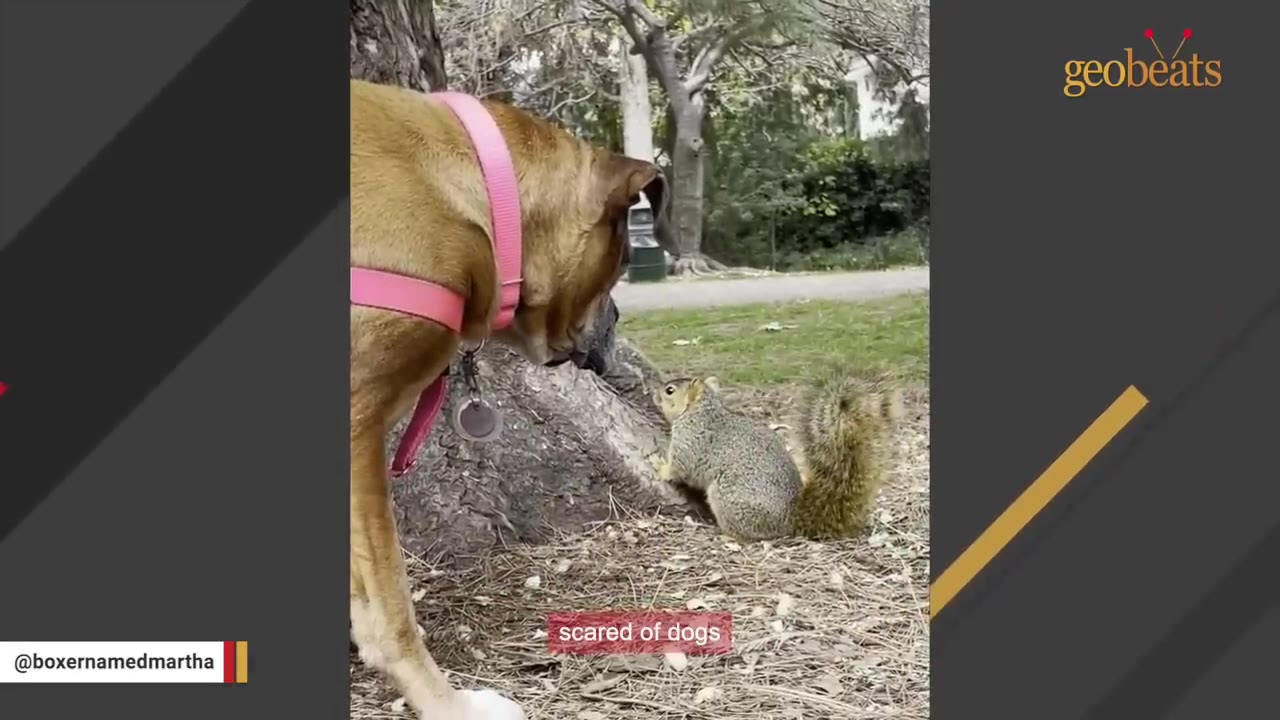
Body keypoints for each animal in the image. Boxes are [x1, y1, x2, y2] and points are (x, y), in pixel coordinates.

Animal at [650, 368, 902, 541]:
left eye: (670, 391)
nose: (653, 392)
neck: (699, 410)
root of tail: (790, 523)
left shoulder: (692, 440)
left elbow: (681, 469)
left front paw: (659, 465)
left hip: (727, 498)